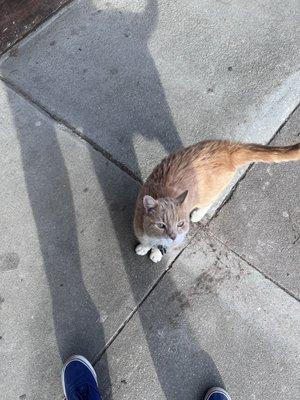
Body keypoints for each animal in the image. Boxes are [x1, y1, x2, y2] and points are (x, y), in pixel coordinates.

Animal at [134, 141, 300, 262]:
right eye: (161, 225)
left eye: (180, 224)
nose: (173, 236)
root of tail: (227, 149)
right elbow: (146, 241)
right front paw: (145, 247)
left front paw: (156, 252)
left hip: (208, 195)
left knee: (208, 203)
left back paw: (197, 214)